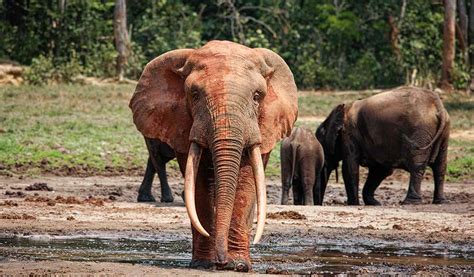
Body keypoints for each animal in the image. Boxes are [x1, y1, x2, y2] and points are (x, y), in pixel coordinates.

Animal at [130, 40, 296, 270]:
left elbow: (246, 183)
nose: (222, 262)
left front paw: (239, 266)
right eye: (194, 95)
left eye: (257, 97)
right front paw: (203, 264)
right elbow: (198, 183)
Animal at [316, 86, 450, 205]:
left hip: (420, 131)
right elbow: (381, 170)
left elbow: (350, 168)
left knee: (417, 166)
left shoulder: (349, 134)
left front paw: (353, 204)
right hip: (444, 132)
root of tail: (438, 106)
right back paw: (440, 202)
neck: (343, 109)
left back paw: (410, 202)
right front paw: (375, 203)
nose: (319, 204)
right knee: (440, 166)